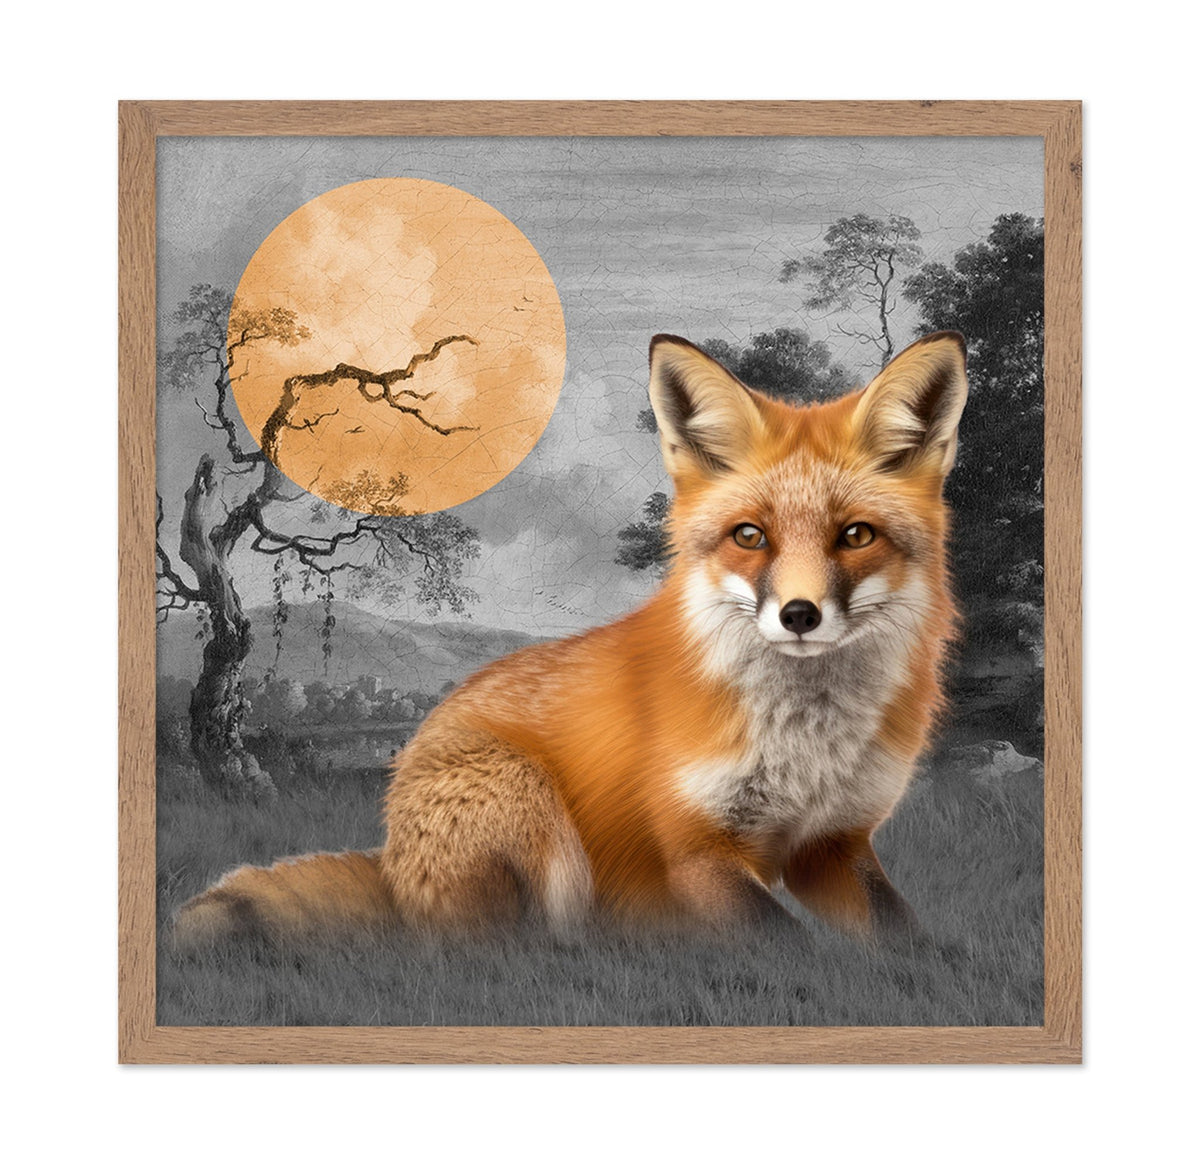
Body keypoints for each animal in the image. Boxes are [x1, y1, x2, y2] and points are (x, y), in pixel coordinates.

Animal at [175, 330, 968, 946]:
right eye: (751, 536)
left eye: (855, 535)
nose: (799, 615)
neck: (806, 745)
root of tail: (392, 863)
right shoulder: (695, 848)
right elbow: (795, 949)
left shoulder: (832, 846)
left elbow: (909, 940)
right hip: (530, 804)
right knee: (520, 947)